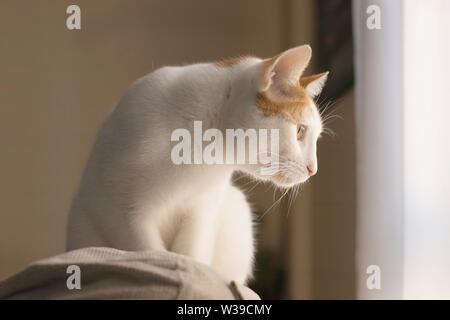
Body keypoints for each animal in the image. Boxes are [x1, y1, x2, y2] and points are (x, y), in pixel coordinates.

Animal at [66, 45, 326, 284]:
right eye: (300, 131)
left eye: (314, 137)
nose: (313, 170)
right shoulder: (123, 213)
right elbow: (150, 253)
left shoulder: (201, 211)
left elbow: (192, 257)